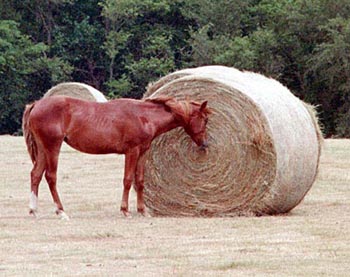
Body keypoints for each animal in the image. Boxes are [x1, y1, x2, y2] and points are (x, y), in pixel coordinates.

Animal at [22, 95, 211, 218]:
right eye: (205, 119)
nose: (205, 143)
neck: (144, 117)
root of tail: (37, 104)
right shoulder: (132, 152)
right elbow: (127, 180)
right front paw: (125, 210)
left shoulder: (142, 153)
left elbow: (140, 181)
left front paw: (142, 211)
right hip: (52, 148)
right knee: (50, 177)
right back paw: (61, 211)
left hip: (43, 150)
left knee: (36, 175)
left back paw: (33, 210)